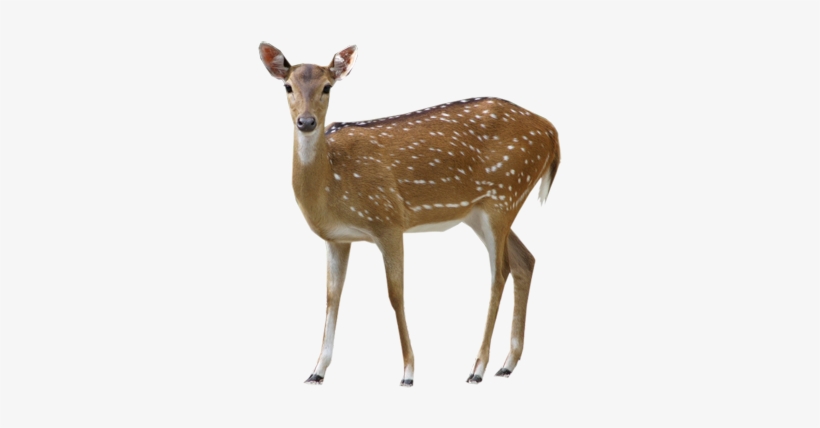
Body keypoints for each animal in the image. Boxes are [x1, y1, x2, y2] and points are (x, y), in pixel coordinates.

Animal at [258, 43, 560, 387]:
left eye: (327, 87)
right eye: (288, 86)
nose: (306, 122)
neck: (331, 184)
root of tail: (551, 131)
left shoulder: (388, 219)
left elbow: (396, 294)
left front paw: (408, 372)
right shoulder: (337, 238)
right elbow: (332, 296)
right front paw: (316, 371)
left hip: (504, 194)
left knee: (499, 273)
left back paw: (478, 368)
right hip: (482, 210)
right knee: (525, 260)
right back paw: (507, 364)